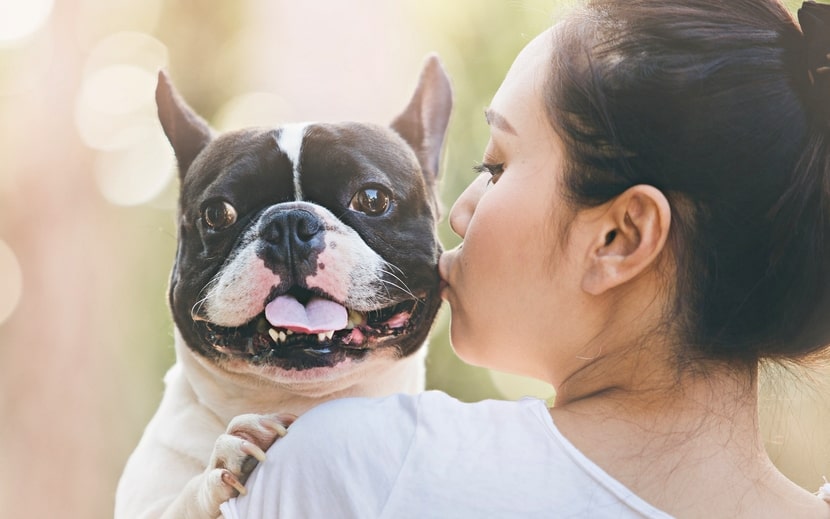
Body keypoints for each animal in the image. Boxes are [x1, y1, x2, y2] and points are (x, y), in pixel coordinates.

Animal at [114, 54, 452, 516]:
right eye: (217, 213)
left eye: (372, 199)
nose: (290, 222)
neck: (295, 401)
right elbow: (179, 503)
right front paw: (222, 463)